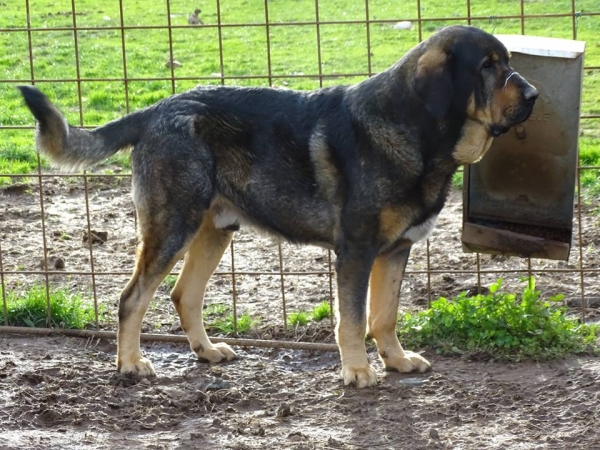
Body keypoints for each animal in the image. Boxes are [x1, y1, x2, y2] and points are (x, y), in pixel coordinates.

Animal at [18, 26, 540, 388]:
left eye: (507, 63)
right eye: (488, 66)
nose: (535, 95)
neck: (416, 127)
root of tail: (156, 110)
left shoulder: (395, 251)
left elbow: (384, 315)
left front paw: (395, 360)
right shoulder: (355, 251)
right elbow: (354, 319)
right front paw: (357, 372)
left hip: (214, 230)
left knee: (184, 295)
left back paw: (207, 352)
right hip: (173, 227)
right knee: (132, 298)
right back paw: (130, 365)